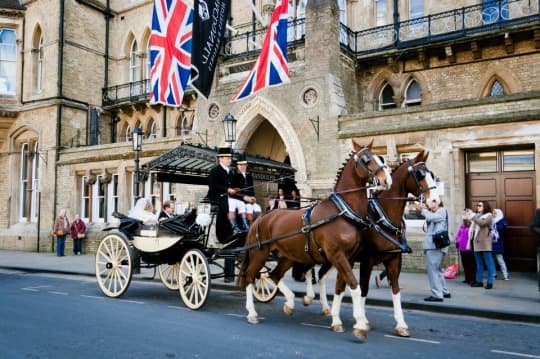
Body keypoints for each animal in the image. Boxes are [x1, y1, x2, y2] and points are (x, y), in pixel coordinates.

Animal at [238, 141, 390, 340]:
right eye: (366, 159)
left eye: (380, 158)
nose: (387, 180)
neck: (342, 211)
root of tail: (260, 217)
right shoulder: (337, 255)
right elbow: (354, 286)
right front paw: (359, 325)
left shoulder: (347, 257)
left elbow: (341, 287)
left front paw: (340, 320)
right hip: (259, 253)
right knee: (250, 276)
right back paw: (252, 313)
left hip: (288, 255)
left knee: (274, 275)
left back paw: (290, 302)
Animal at [304, 151, 438, 340]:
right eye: (419, 175)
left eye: (432, 174)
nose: (435, 202)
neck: (383, 218)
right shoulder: (367, 260)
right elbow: (364, 288)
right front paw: (363, 321)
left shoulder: (394, 259)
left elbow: (395, 289)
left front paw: (401, 324)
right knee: (309, 270)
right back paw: (310, 297)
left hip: (330, 256)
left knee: (322, 275)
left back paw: (326, 308)